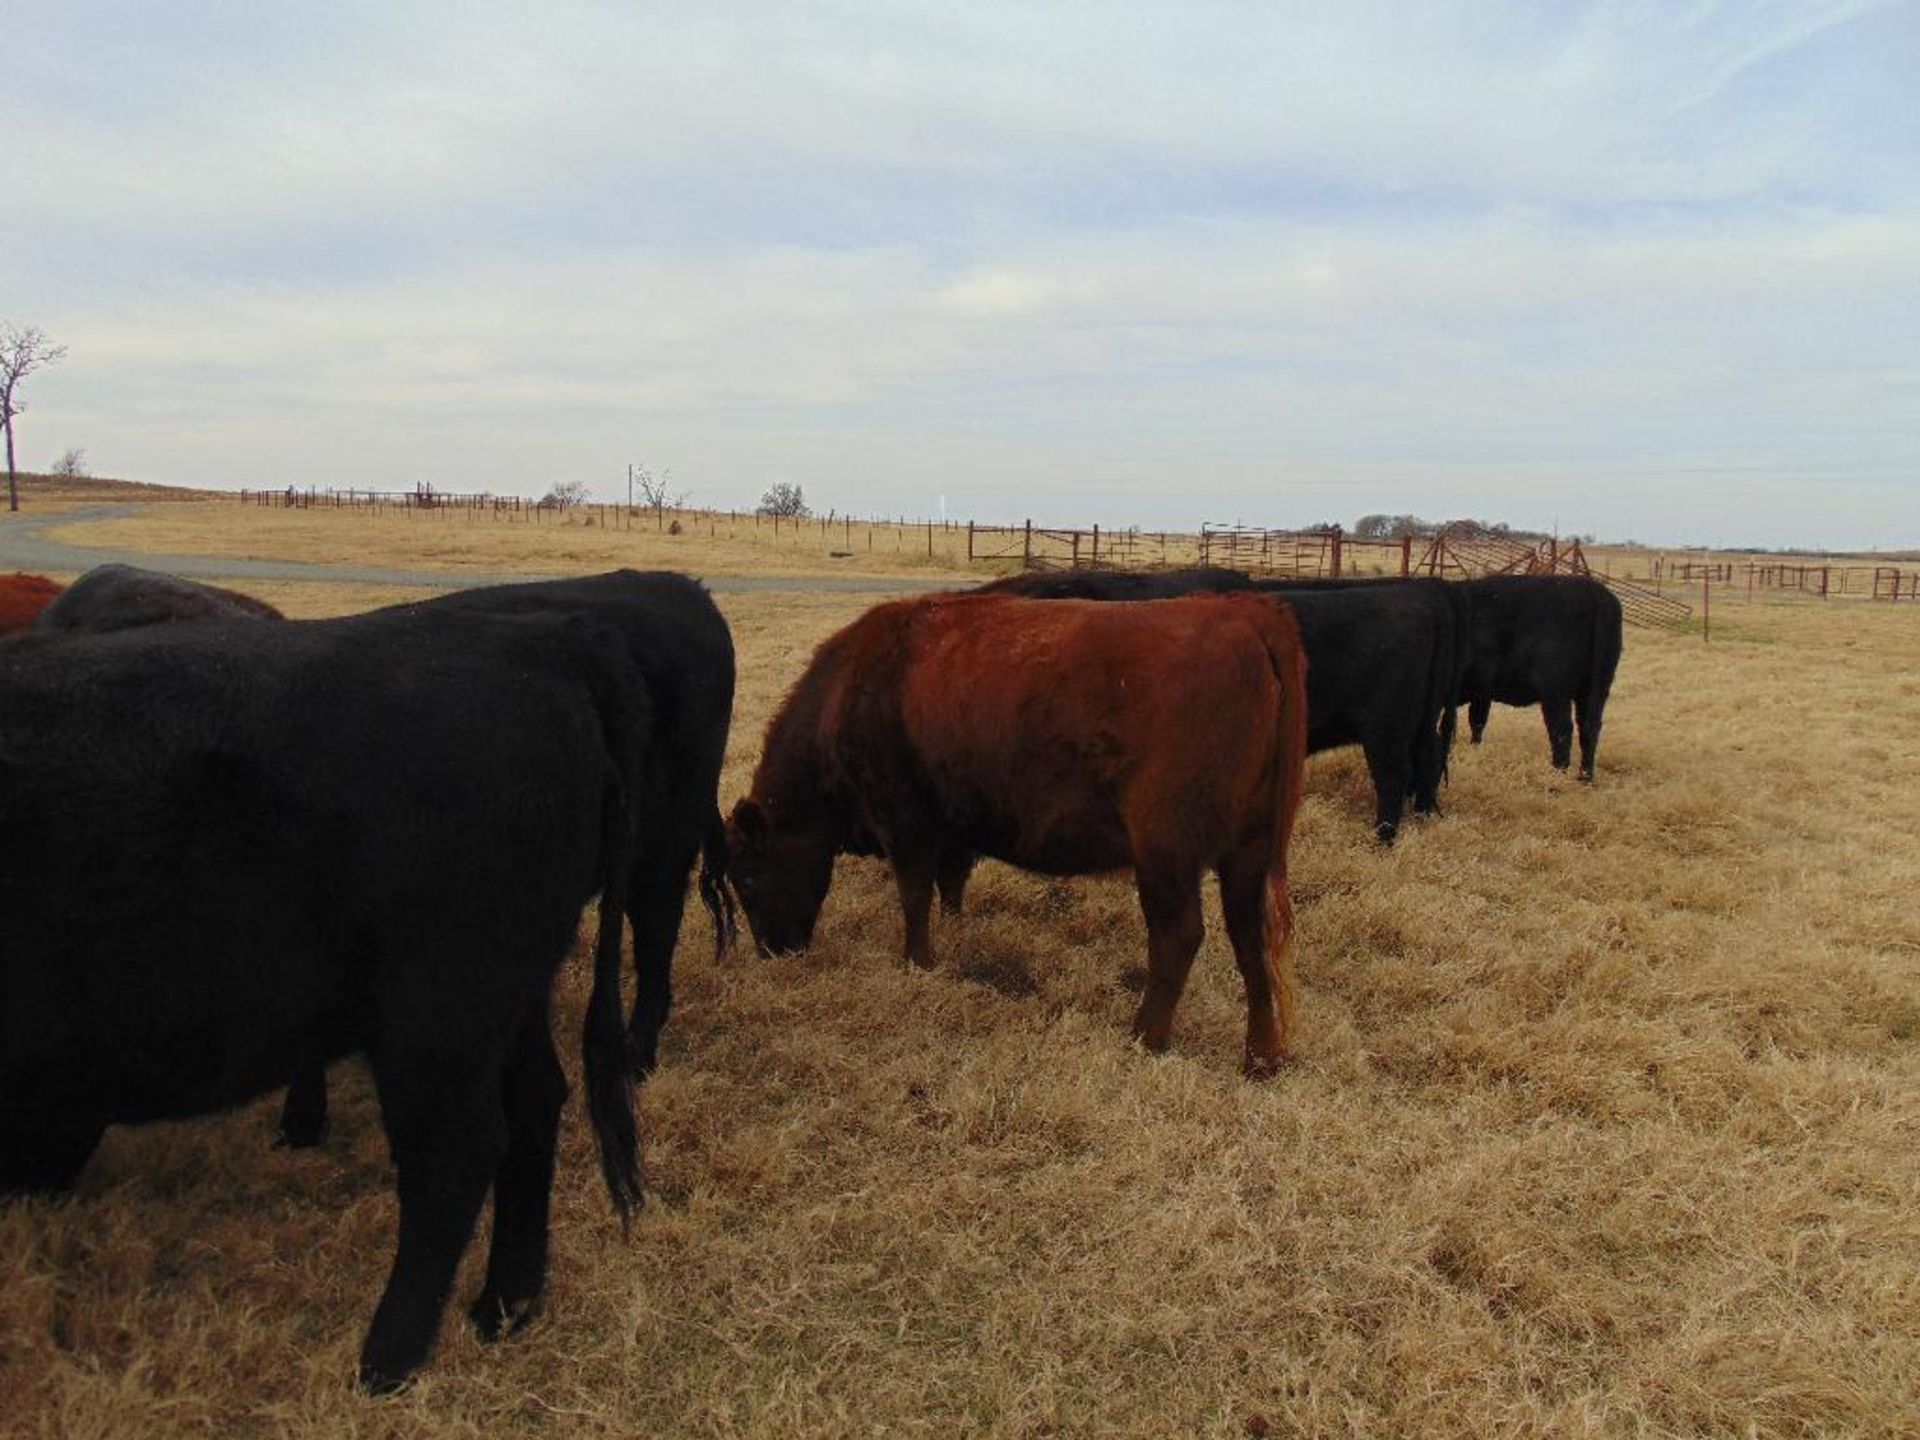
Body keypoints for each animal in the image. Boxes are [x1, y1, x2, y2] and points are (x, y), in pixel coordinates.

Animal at [0, 602, 648, 1390]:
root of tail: (544, 649)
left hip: (435, 1008)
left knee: (456, 1150)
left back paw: (389, 1357)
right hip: (505, 991)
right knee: (534, 1103)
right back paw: (505, 1303)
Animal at [725, 591, 1313, 1075]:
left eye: (747, 881)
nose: (774, 953)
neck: (853, 685)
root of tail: (1244, 611)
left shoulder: (904, 821)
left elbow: (914, 894)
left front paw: (918, 962)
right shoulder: (953, 828)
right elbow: (949, 886)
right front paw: (955, 935)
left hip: (1165, 850)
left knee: (1179, 934)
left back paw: (1145, 1037)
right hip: (1247, 852)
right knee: (1250, 937)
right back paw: (1261, 1056)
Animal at [983, 568, 1459, 844]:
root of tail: (1418, 597)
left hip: (1386, 728)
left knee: (1393, 775)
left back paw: (1384, 838)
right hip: (1418, 722)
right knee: (1427, 759)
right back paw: (1425, 816)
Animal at [1459, 576, 1628, 783]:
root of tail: (1594, 593)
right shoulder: (1482, 692)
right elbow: (1477, 720)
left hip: (1556, 693)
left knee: (1562, 728)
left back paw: (1557, 771)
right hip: (1596, 689)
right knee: (1589, 726)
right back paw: (1584, 776)